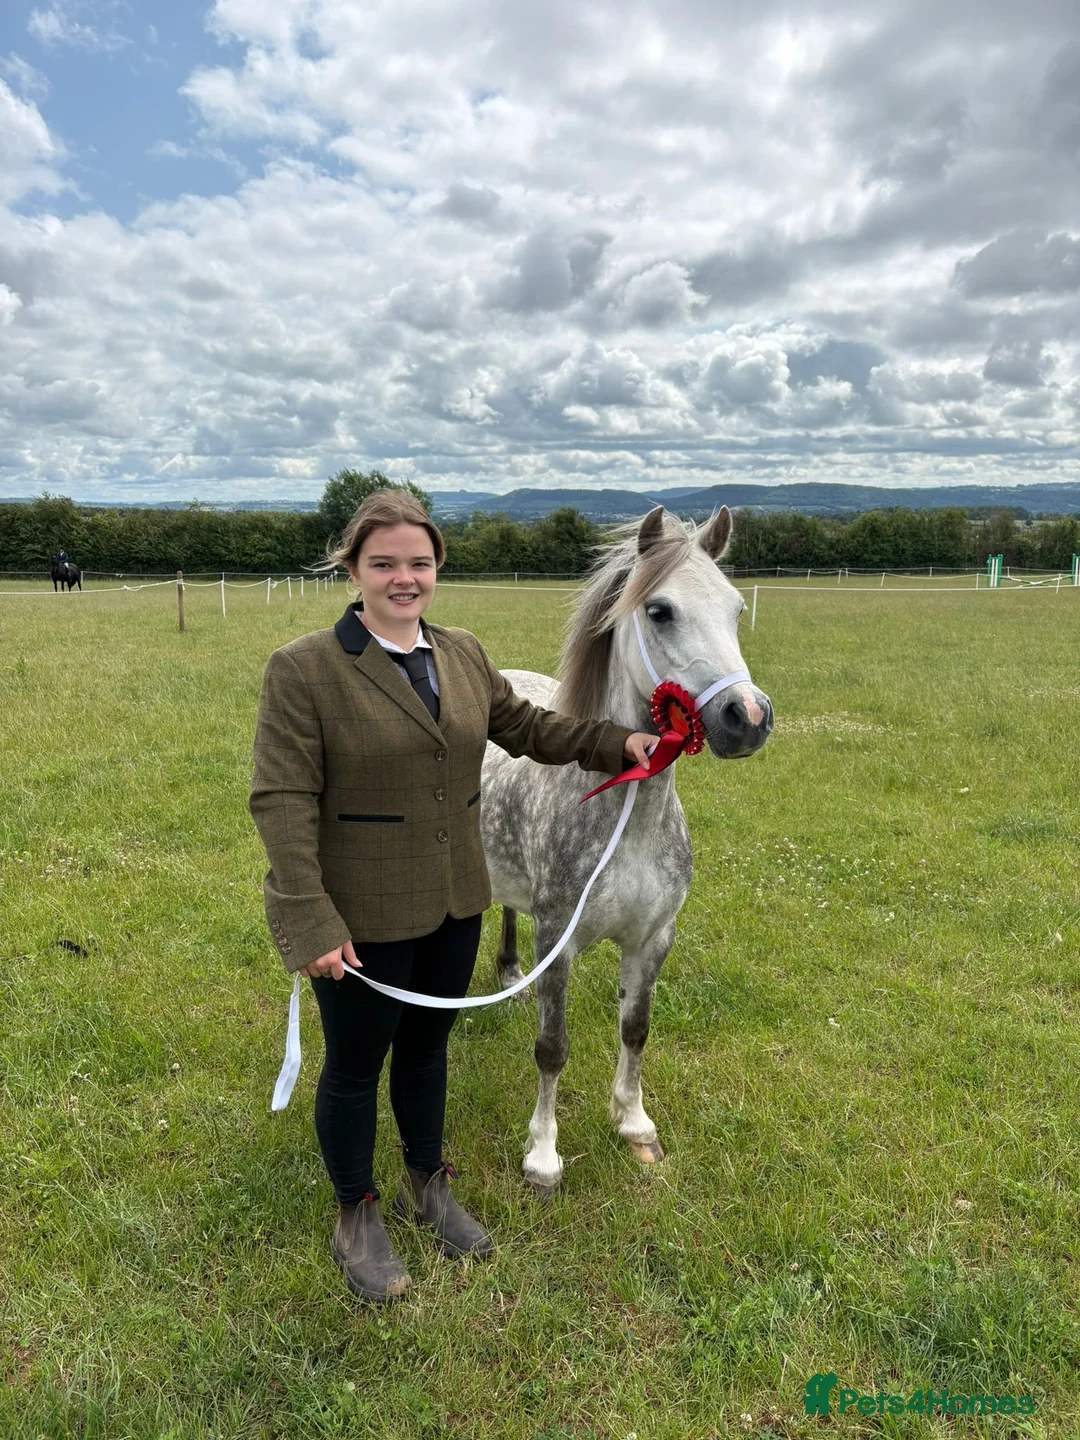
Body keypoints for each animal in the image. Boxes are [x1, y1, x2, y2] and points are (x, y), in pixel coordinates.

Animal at [479, 504, 772, 1194]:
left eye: (735, 609)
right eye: (660, 610)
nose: (748, 717)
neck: (627, 819)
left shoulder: (653, 938)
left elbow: (635, 1029)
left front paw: (634, 1123)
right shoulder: (557, 941)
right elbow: (552, 1049)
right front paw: (542, 1156)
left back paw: (509, 975)